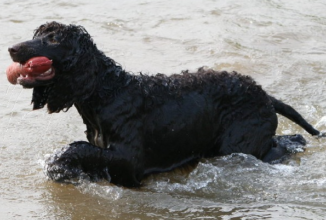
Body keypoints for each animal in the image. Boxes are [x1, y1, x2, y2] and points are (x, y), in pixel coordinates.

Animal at [7, 21, 320, 187]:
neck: (107, 92)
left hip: (239, 144)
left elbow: (78, 149)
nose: (11, 48)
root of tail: (265, 94)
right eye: (37, 35)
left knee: (284, 143)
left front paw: (60, 165)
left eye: (54, 39)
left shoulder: (130, 161)